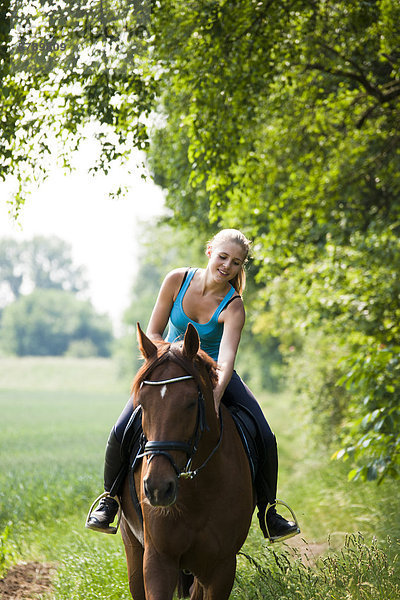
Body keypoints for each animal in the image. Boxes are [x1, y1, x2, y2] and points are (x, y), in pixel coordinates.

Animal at [119, 324, 255, 600]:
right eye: (142, 404)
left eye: (191, 402)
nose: (157, 488)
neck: (198, 490)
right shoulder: (158, 560)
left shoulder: (222, 567)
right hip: (133, 548)